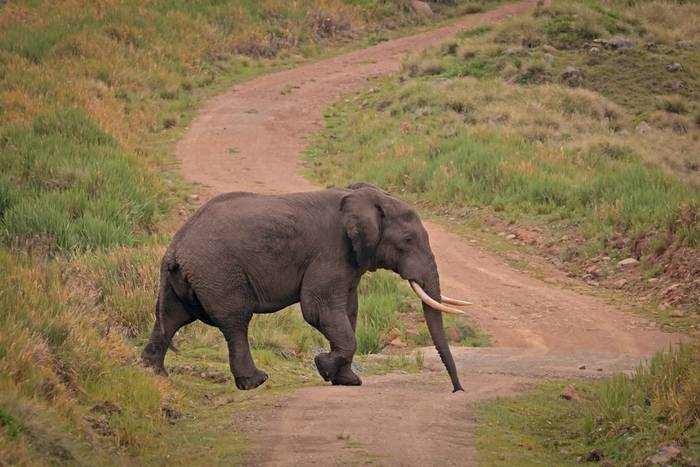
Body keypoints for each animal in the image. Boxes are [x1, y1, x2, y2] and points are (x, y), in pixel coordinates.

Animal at [142, 183, 470, 392]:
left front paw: (347, 381)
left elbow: (348, 312)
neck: (358, 196)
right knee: (235, 323)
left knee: (169, 319)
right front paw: (324, 367)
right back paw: (256, 382)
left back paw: (153, 375)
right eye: (408, 241)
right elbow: (319, 309)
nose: (457, 390)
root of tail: (175, 248)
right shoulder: (331, 251)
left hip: (184, 278)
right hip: (218, 271)